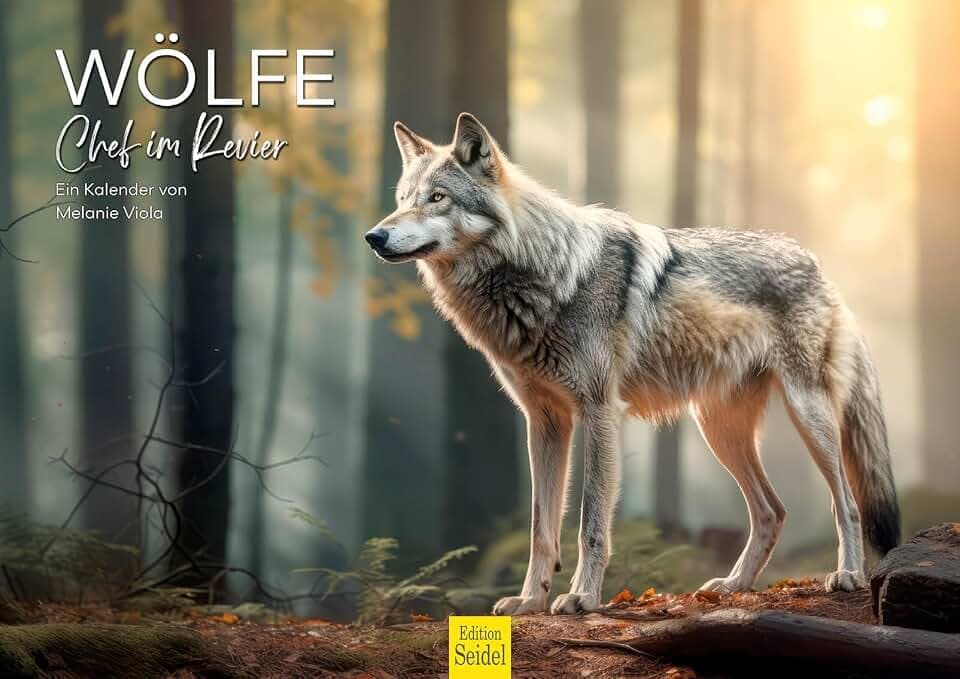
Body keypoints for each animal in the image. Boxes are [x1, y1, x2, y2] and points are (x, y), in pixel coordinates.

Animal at [364, 112, 900, 615]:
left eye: (437, 198)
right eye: (403, 198)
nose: (374, 236)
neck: (542, 272)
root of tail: (816, 263)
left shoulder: (599, 412)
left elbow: (590, 523)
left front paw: (581, 598)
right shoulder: (545, 421)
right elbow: (542, 528)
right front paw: (530, 601)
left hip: (806, 416)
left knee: (846, 502)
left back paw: (847, 575)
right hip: (718, 430)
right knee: (773, 510)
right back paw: (734, 586)